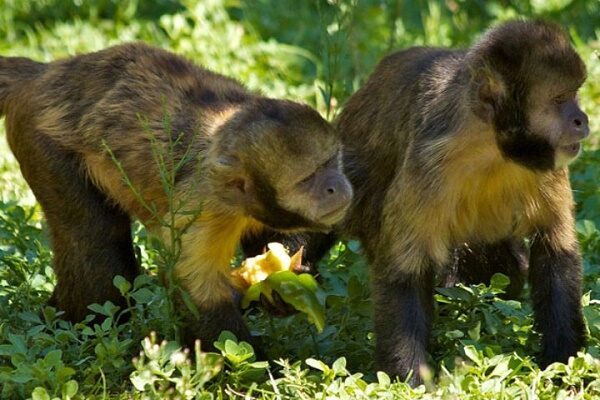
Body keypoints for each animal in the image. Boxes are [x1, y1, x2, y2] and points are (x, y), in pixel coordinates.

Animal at [0, 43, 354, 350]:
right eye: (307, 179)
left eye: (330, 162)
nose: (335, 186)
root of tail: (46, 73)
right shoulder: (204, 204)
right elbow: (194, 287)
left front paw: (282, 285)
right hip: (40, 137)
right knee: (95, 247)